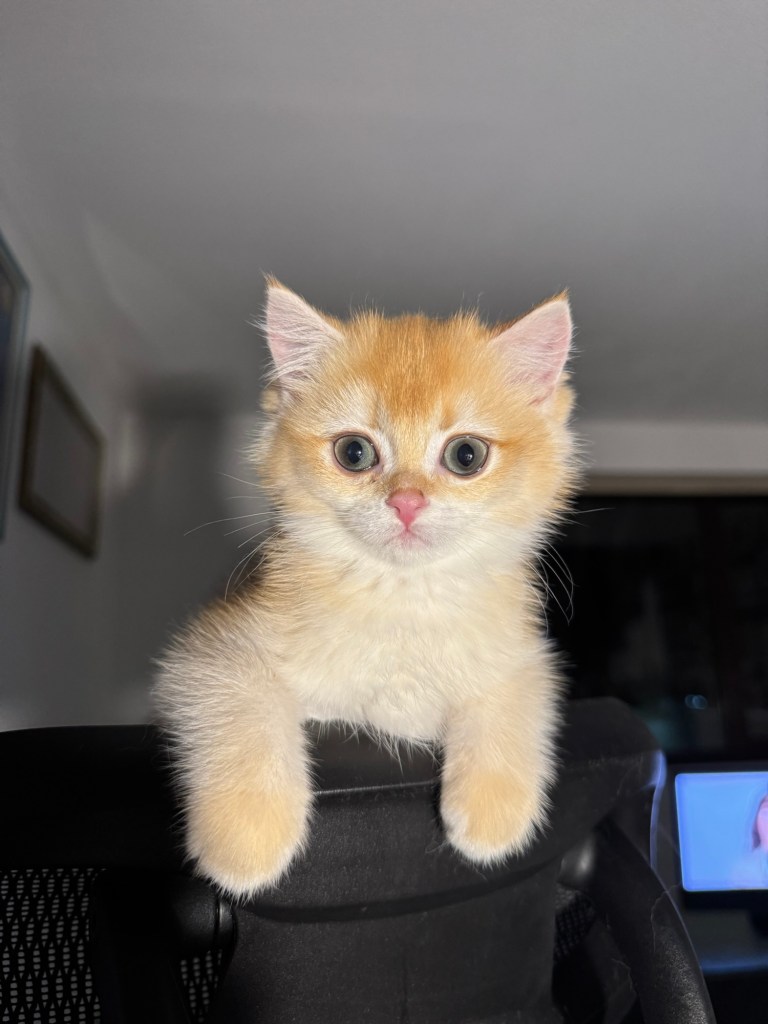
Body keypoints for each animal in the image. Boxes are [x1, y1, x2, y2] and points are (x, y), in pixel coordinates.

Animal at [154, 279, 578, 899]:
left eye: (466, 455)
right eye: (354, 453)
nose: (406, 501)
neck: (401, 598)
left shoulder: (521, 656)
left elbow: (514, 698)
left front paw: (493, 809)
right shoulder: (213, 648)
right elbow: (243, 710)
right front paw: (247, 833)